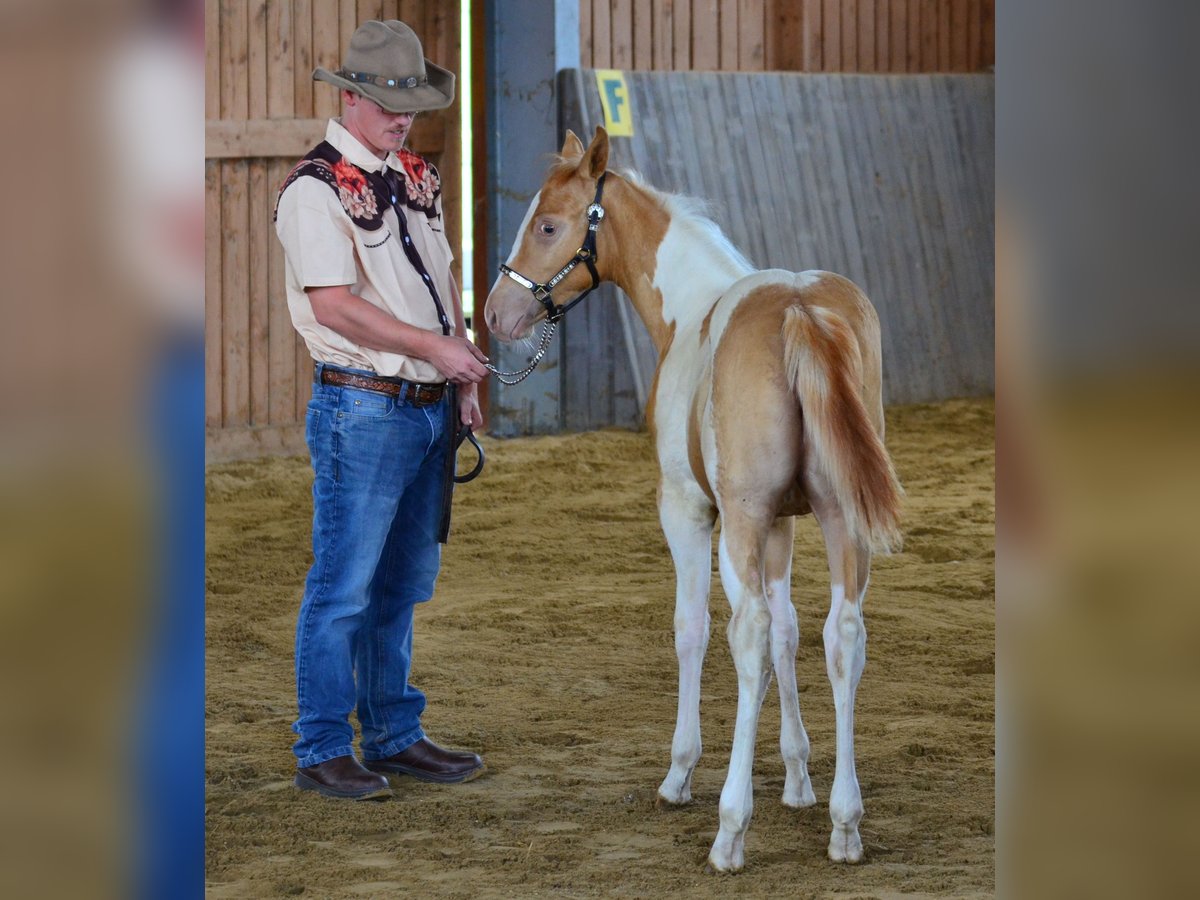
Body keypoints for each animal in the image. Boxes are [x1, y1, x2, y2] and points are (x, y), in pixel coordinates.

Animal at [483, 127, 903, 873]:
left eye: (549, 225)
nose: (498, 313)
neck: (693, 312)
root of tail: (800, 309)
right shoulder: (781, 527)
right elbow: (791, 629)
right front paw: (798, 776)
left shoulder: (688, 510)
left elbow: (694, 629)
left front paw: (680, 774)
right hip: (839, 520)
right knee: (842, 635)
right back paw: (845, 824)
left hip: (738, 523)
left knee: (747, 633)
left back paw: (730, 830)